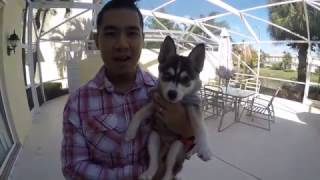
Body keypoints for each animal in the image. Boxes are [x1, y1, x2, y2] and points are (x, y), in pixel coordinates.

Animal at [125, 35, 212, 180]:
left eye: (185, 79)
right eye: (167, 75)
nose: (172, 94)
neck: (173, 103)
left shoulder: (193, 106)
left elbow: (200, 126)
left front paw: (205, 148)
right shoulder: (156, 102)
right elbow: (140, 112)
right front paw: (130, 131)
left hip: (177, 146)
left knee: (170, 168)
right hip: (153, 137)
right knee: (154, 161)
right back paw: (148, 173)